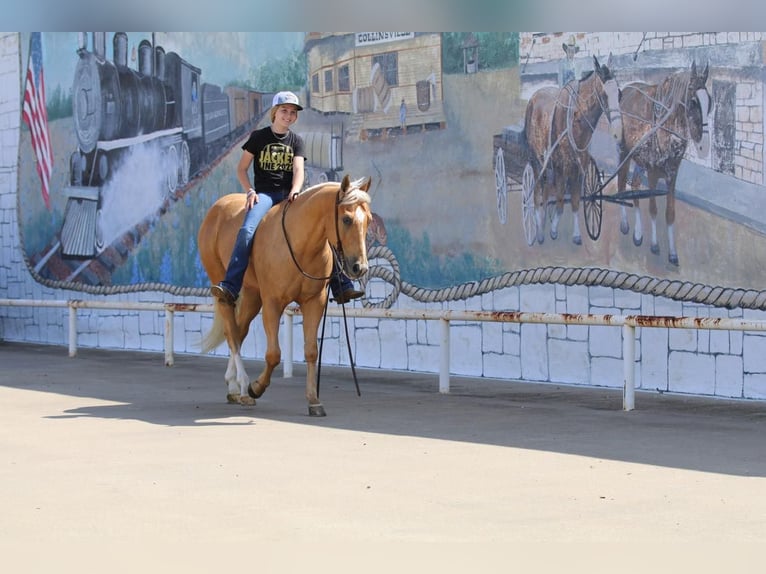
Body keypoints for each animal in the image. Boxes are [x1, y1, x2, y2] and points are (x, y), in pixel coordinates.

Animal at [200, 176, 374, 418]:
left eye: (368, 220)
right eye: (346, 219)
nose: (360, 268)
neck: (301, 245)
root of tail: (217, 207)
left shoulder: (314, 302)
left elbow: (311, 351)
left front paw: (313, 400)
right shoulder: (272, 303)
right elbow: (273, 354)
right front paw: (256, 388)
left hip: (253, 295)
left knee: (239, 330)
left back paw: (234, 388)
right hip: (223, 288)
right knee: (232, 333)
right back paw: (244, 386)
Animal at [524, 55, 628, 249]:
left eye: (619, 94)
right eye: (604, 95)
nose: (618, 132)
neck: (575, 119)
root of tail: (535, 96)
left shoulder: (578, 168)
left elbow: (573, 201)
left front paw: (574, 234)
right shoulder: (562, 167)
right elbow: (559, 200)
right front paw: (552, 229)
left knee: (547, 190)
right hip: (536, 161)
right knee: (537, 192)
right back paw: (538, 229)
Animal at [616, 60, 712, 268]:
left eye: (710, 102)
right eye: (693, 101)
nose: (704, 147)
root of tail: (627, 89)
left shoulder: (672, 173)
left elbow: (670, 213)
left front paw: (673, 253)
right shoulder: (653, 172)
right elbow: (653, 209)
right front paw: (654, 244)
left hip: (639, 158)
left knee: (635, 186)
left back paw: (638, 233)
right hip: (624, 153)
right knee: (621, 184)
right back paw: (625, 225)